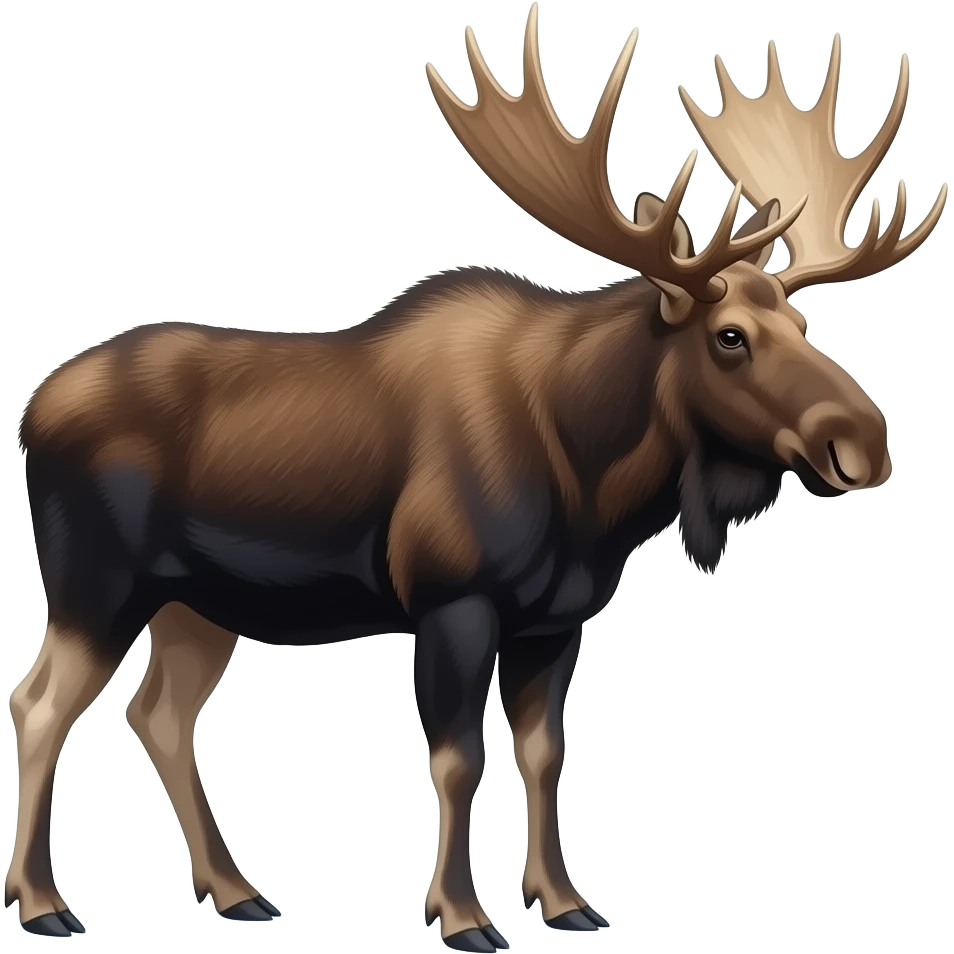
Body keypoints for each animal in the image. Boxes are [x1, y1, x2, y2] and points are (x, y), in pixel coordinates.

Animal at [5, 4, 946, 949]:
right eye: (730, 338)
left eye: (802, 323)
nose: (865, 443)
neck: (592, 484)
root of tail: (30, 409)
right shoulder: (453, 599)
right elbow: (459, 760)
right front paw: (461, 913)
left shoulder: (556, 619)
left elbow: (544, 755)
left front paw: (564, 902)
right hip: (96, 582)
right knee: (40, 703)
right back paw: (43, 901)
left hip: (198, 603)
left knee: (158, 714)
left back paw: (236, 891)